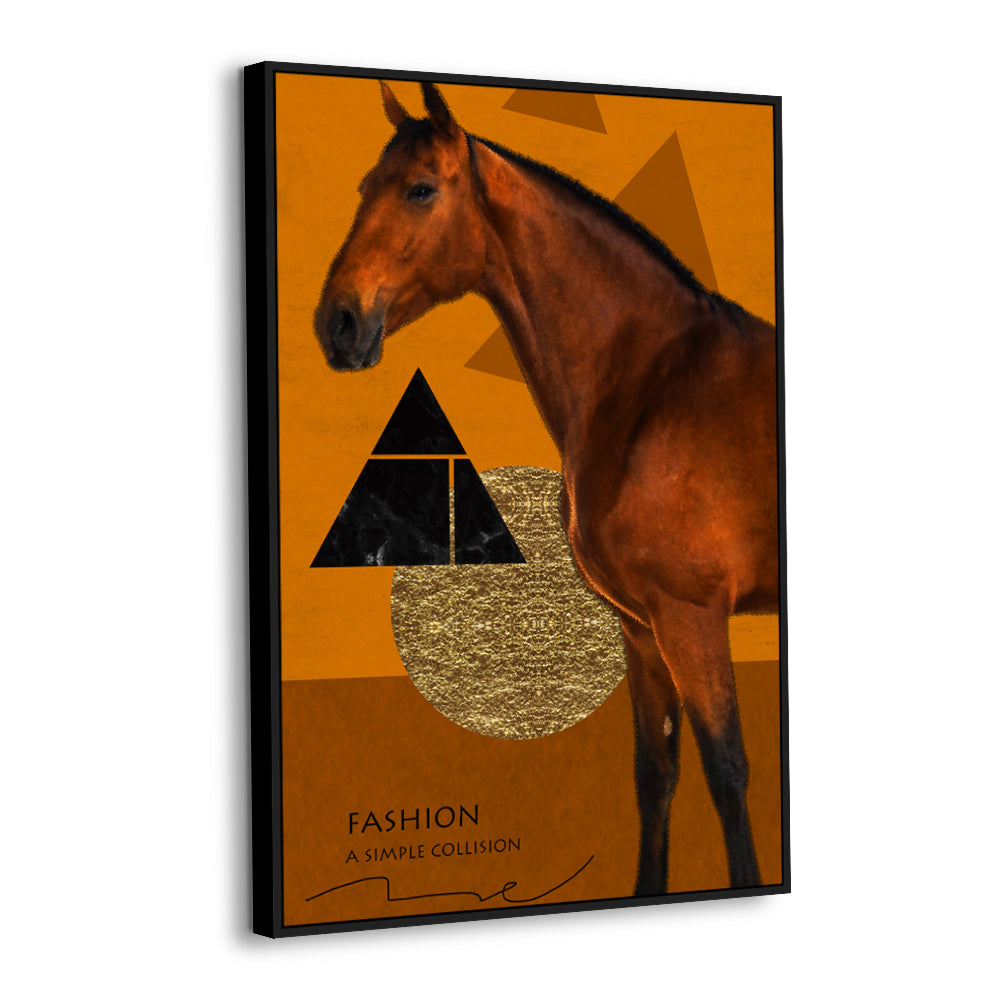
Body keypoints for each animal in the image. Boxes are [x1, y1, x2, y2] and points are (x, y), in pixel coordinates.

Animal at [314, 81, 779, 895]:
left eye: (421, 189)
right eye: (366, 186)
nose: (337, 323)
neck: (655, 386)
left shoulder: (692, 618)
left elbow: (727, 774)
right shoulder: (642, 629)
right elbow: (655, 775)